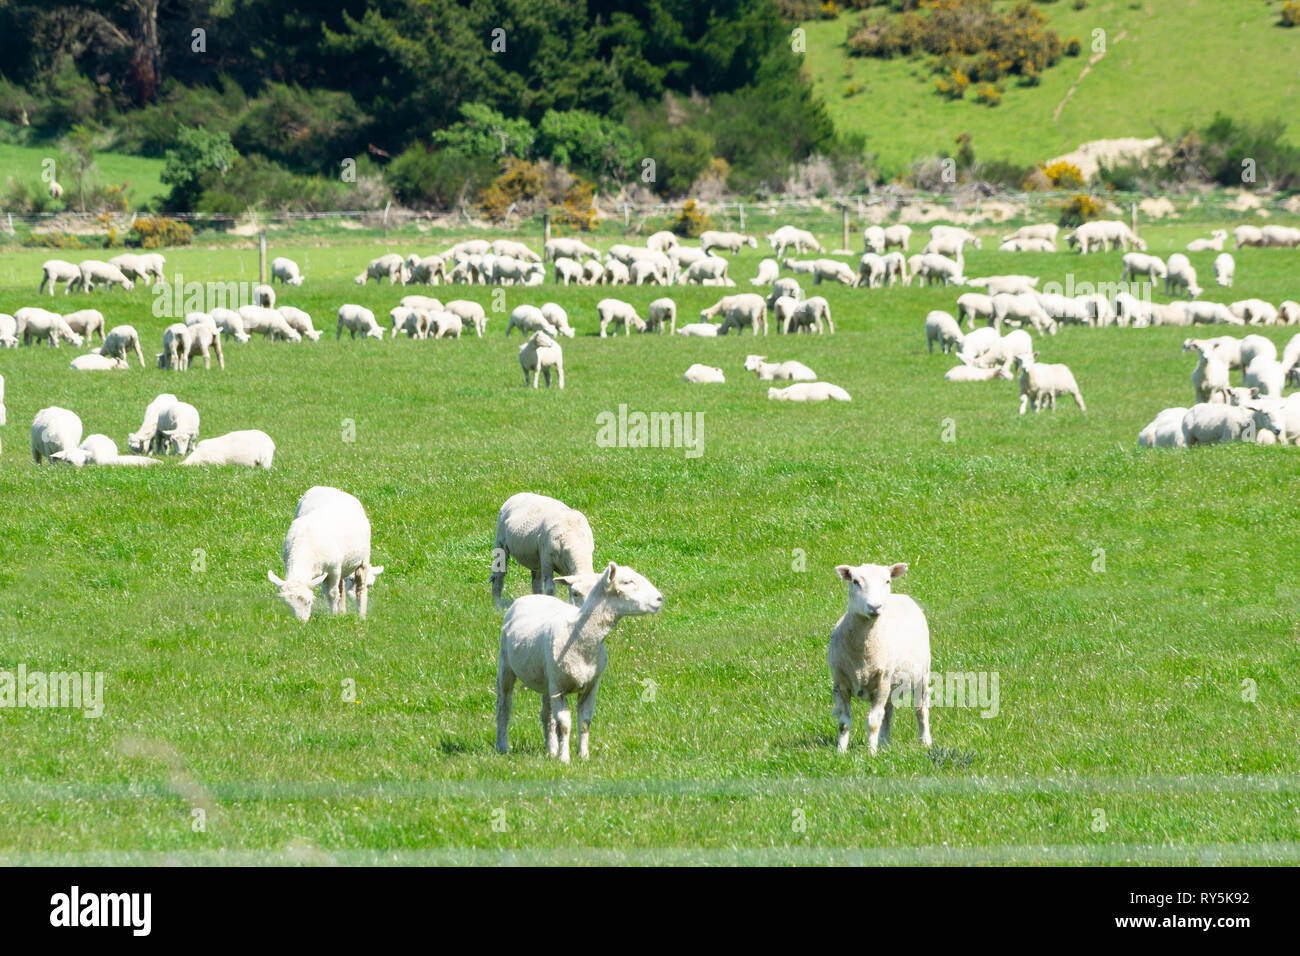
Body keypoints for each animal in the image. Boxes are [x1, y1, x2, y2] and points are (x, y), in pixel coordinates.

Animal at [268, 487, 377, 621]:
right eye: (287, 604)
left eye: (309, 602)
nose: (300, 623)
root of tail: (330, 488)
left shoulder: (334, 569)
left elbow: (332, 594)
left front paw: (333, 616)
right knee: (342, 586)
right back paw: (343, 612)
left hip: (363, 559)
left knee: (360, 587)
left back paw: (361, 615)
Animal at [496, 560, 662, 762]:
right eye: (627, 582)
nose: (660, 598)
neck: (578, 635)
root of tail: (531, 597)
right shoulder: (558, 688)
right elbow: (564, 724)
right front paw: (564, 759)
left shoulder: (591, 685)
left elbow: (585, 721)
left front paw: (583, 756)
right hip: (506, 665)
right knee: (504, 705)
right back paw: (502, 746)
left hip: (546, 678)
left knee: (546, 714)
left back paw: (551, 749)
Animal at [828, 562, 931, 755]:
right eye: (855, 581)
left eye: (887, 581)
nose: (875, 607)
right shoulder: (840, 684)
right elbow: (844, 723)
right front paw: (841, 752)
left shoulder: (882, 682)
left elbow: (873, 722)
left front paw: (871, 753)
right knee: (888, 712)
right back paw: (884, 743)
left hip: (922, 675)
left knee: (921, 710)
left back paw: (925, 741)